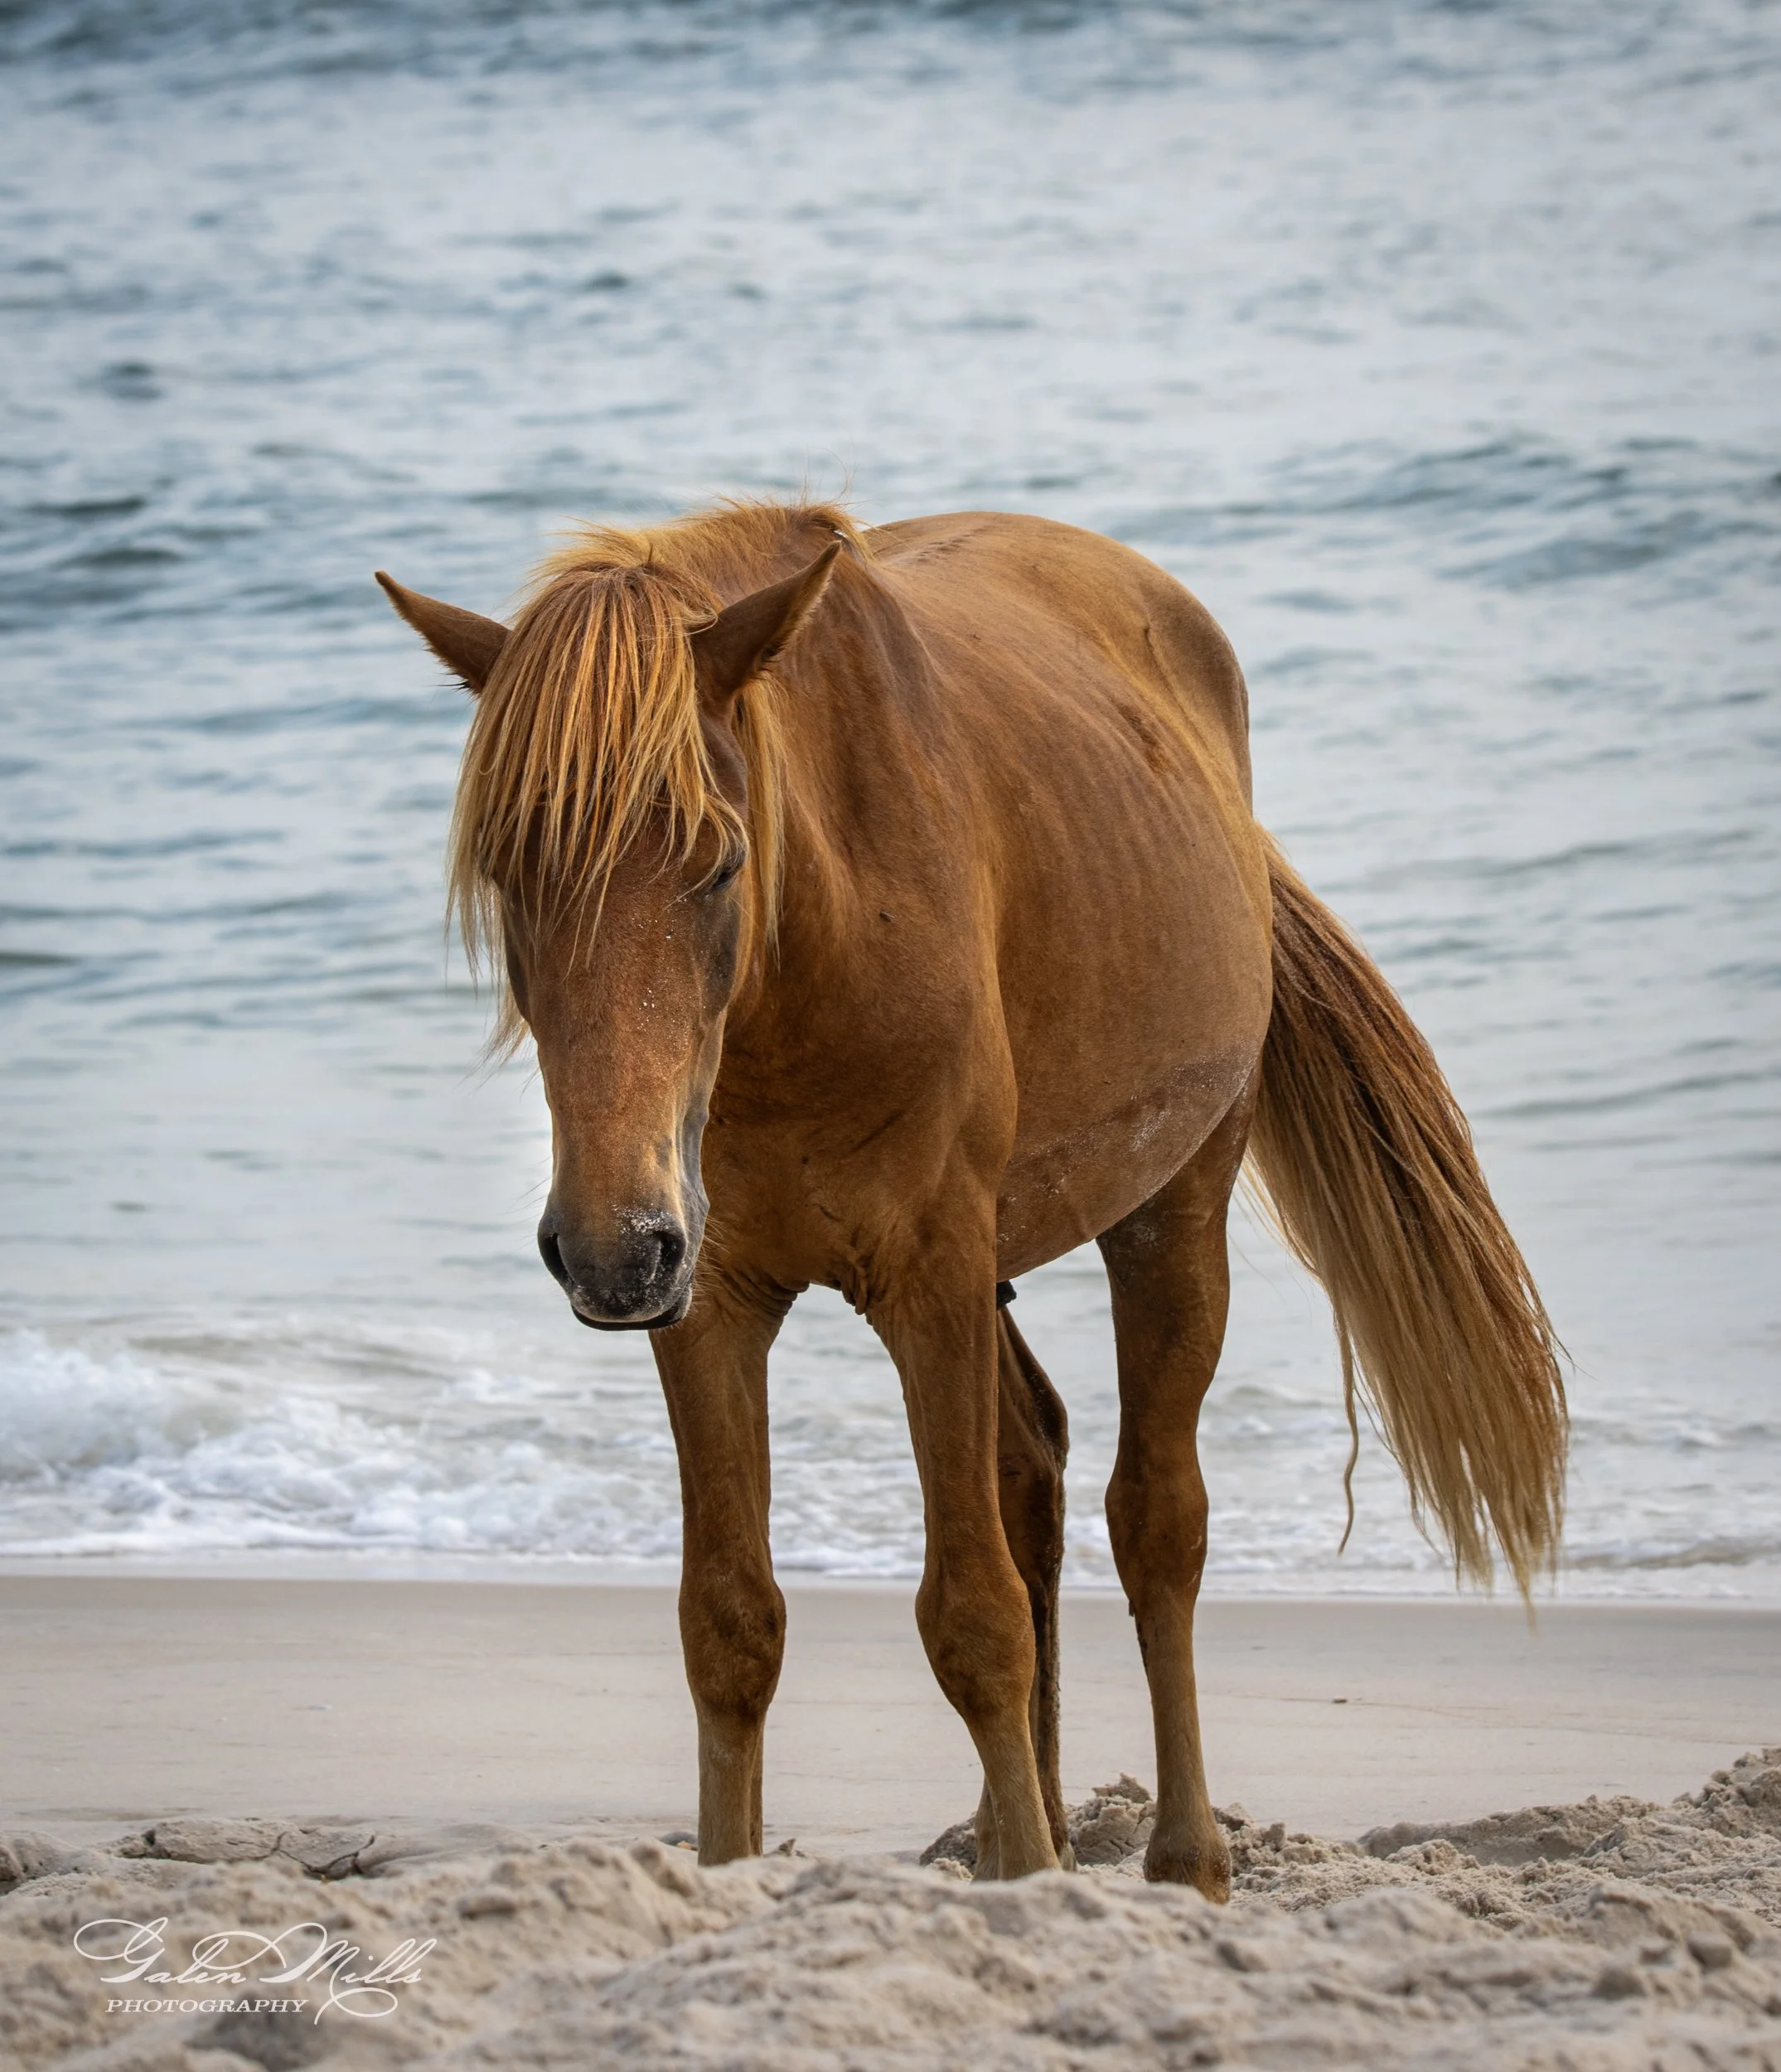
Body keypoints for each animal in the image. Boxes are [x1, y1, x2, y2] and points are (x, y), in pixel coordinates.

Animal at [377, 499, 1566, 1895]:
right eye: (508, 873)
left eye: (717, 863)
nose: (612, 1251)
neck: (807, 971)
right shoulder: (709, 1303)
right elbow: (730, 1624)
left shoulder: (926, 1277)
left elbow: (973, 1616)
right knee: (1031, 1470)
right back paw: (1019, 1842)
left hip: (1168, 1213)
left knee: (1153, 1521)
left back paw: (1178, 1860)